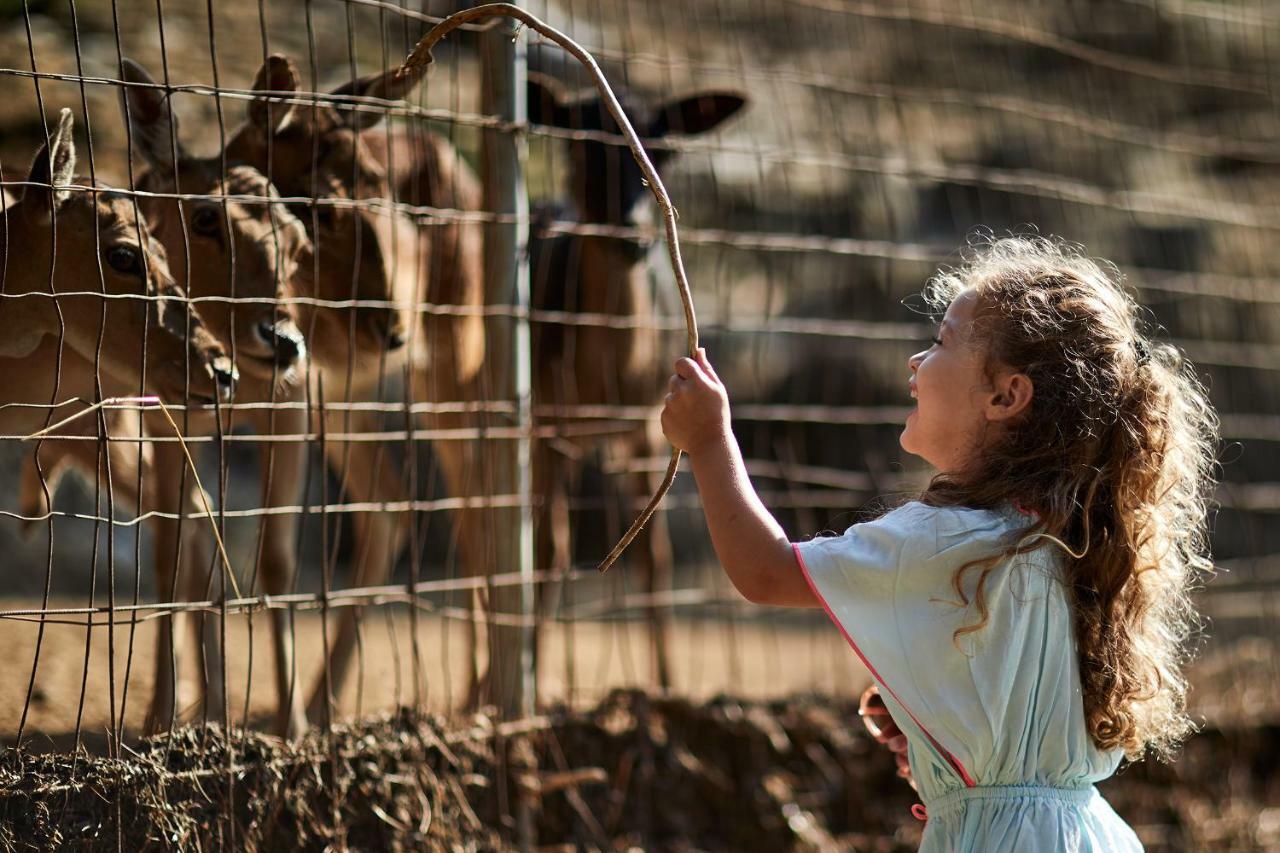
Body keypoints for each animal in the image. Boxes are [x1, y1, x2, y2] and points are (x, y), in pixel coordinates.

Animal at [522, 71, 747, 686]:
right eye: (579, 147)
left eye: (663, 153)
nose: (630, 237)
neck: (605, 381)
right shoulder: (545, 421)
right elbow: (547, 550)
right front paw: (529, 684)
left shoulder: (646, 430)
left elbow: (653, 554)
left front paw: (666, 686)